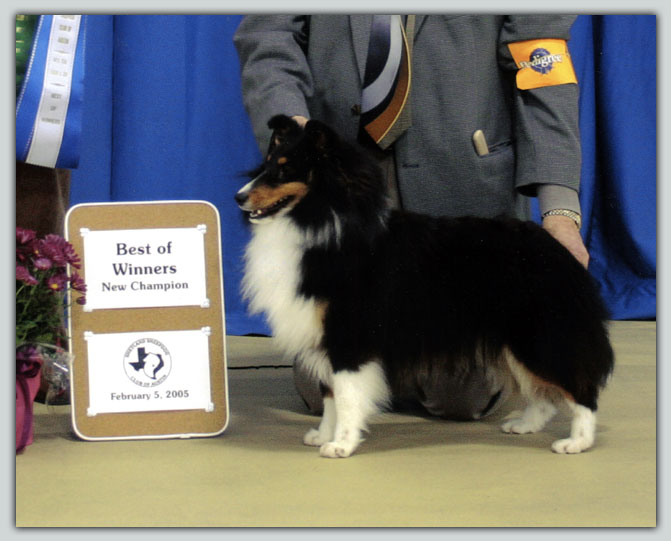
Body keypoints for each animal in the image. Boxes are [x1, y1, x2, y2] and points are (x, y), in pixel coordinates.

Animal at [235, 114, 616, 456]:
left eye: (285, 170)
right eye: (265, 165)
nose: (239, 198)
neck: (321, 221)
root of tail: (558, 249)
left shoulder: (349, 336)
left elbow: (346, 395)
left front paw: (341, 444)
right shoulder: (323, 337)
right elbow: (329, 395)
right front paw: (323, 434)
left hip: (539, 335)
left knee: (580, 389)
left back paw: (576, 442)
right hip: (516, 341)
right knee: (544, 393)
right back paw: (524, 425)